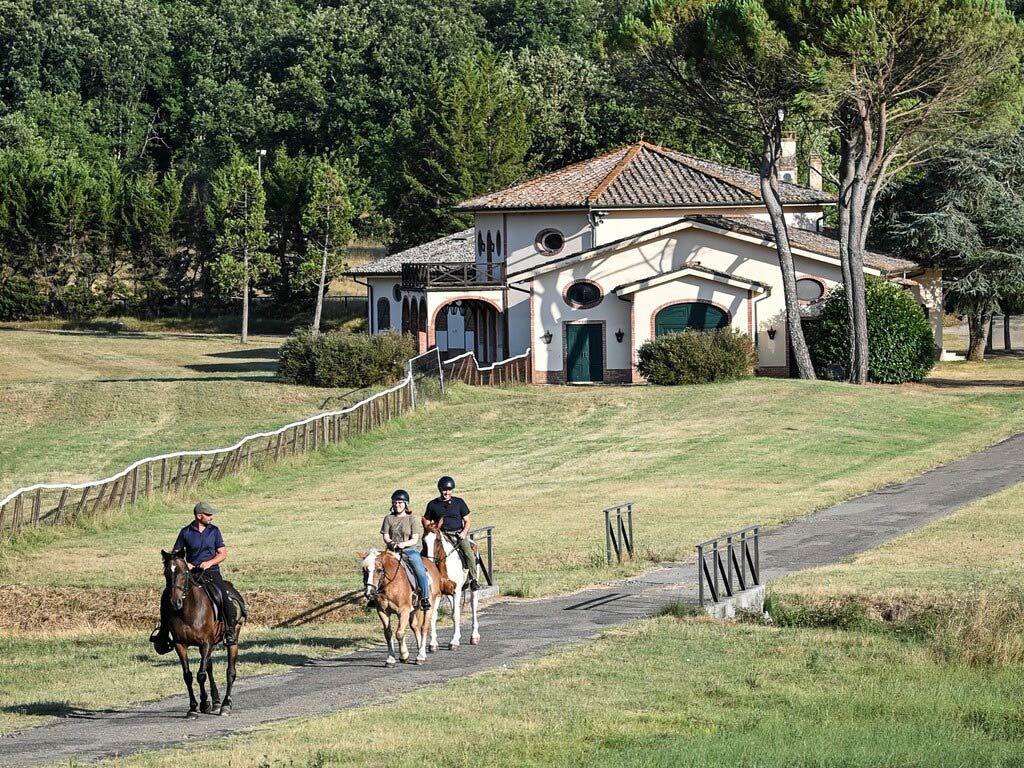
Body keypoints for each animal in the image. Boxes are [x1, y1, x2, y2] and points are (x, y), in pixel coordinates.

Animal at [161, 548, 241, 720]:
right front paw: (194, 707)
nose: (175, 602)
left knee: (230, 672)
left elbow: (201, 675)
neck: (187, 611)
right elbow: (188, 676)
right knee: (209, 668)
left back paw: (225, 705)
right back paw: (216, 702)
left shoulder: (206, 643)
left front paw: (204, 704)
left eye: (184, 572)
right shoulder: (180, 644)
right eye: (166, 573)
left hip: (233, 640)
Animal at [419, 520, 479, 651]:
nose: (429, 561)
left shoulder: (457, 591)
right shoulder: (437, 593)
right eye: (423, 540)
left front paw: (454, 641)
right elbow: (434, 615)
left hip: (472, 587)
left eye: (437, 539)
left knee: (473, 605)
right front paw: (433, 643)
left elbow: (456, 615)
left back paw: (475, 636)